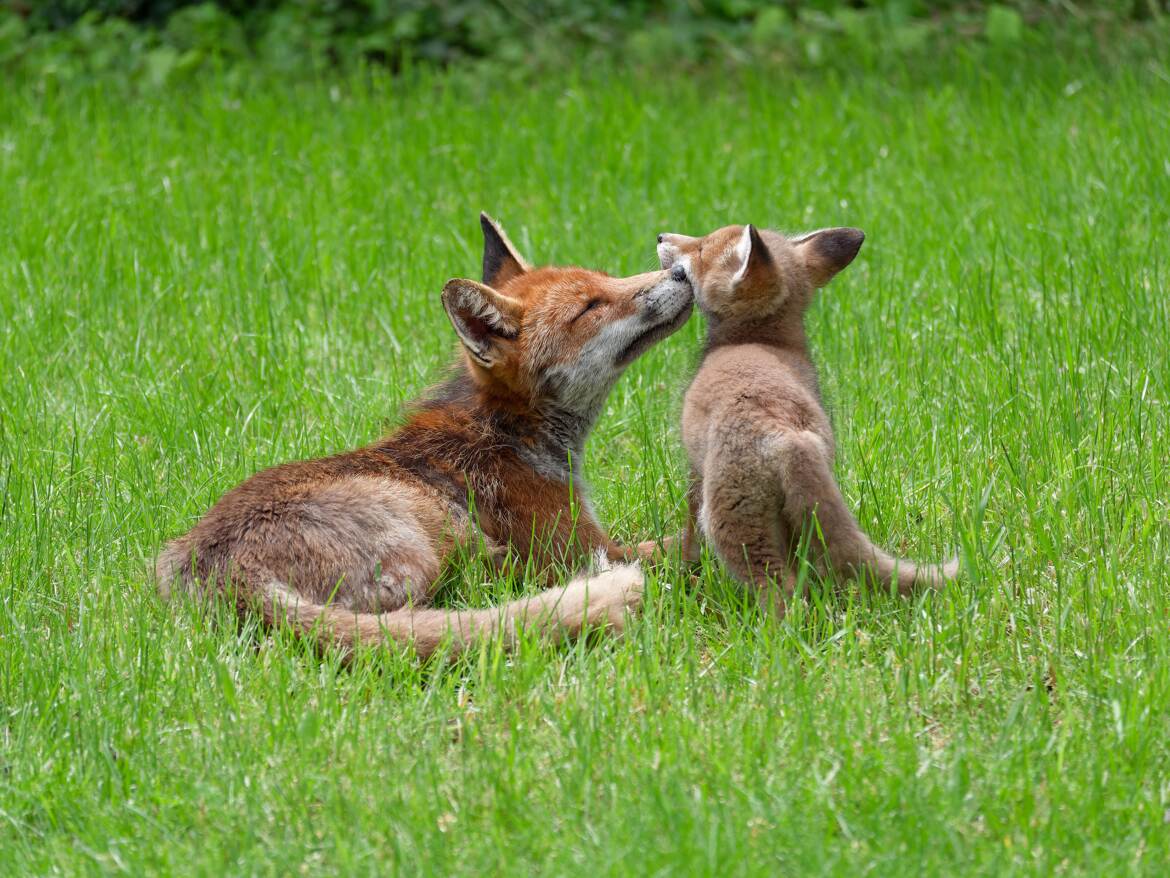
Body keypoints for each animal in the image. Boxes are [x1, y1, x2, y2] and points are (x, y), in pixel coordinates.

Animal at [150, 216, 687, 660]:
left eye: (606, 280)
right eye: (590, 307)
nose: (681, 272)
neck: (506, 431)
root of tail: (227, 574)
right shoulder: (585, 549)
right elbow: (678, 548)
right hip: (428, 543)